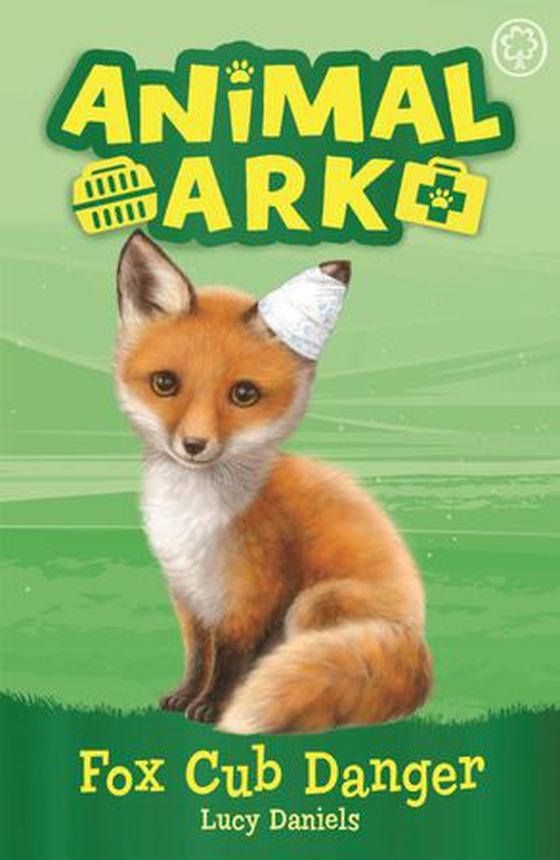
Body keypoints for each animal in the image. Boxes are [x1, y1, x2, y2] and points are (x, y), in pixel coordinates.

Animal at [115, 229, 432, 733]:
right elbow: (198, 655)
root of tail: (418, 649)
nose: (193, 445)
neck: (194, 518)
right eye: (165, 383)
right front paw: (186, 696)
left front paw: (213, 708)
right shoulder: (189, 594)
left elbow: (228, 662)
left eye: (243, 394)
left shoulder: (249, 597)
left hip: (314, 603)